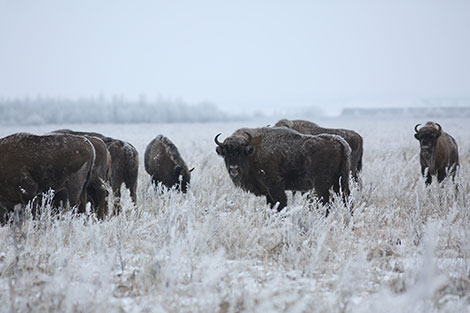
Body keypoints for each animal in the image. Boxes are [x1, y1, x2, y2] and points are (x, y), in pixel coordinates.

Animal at [215, 125, 350, 211]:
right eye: (225, 153)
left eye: (241, 152)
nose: (233, 169)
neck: (253, 151)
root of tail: (338, 141)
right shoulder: (268, 192)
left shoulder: (275, 187)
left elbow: (280, 204)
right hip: (341, 182)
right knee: (346, 198)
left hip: (322, 185)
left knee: (326, 202)